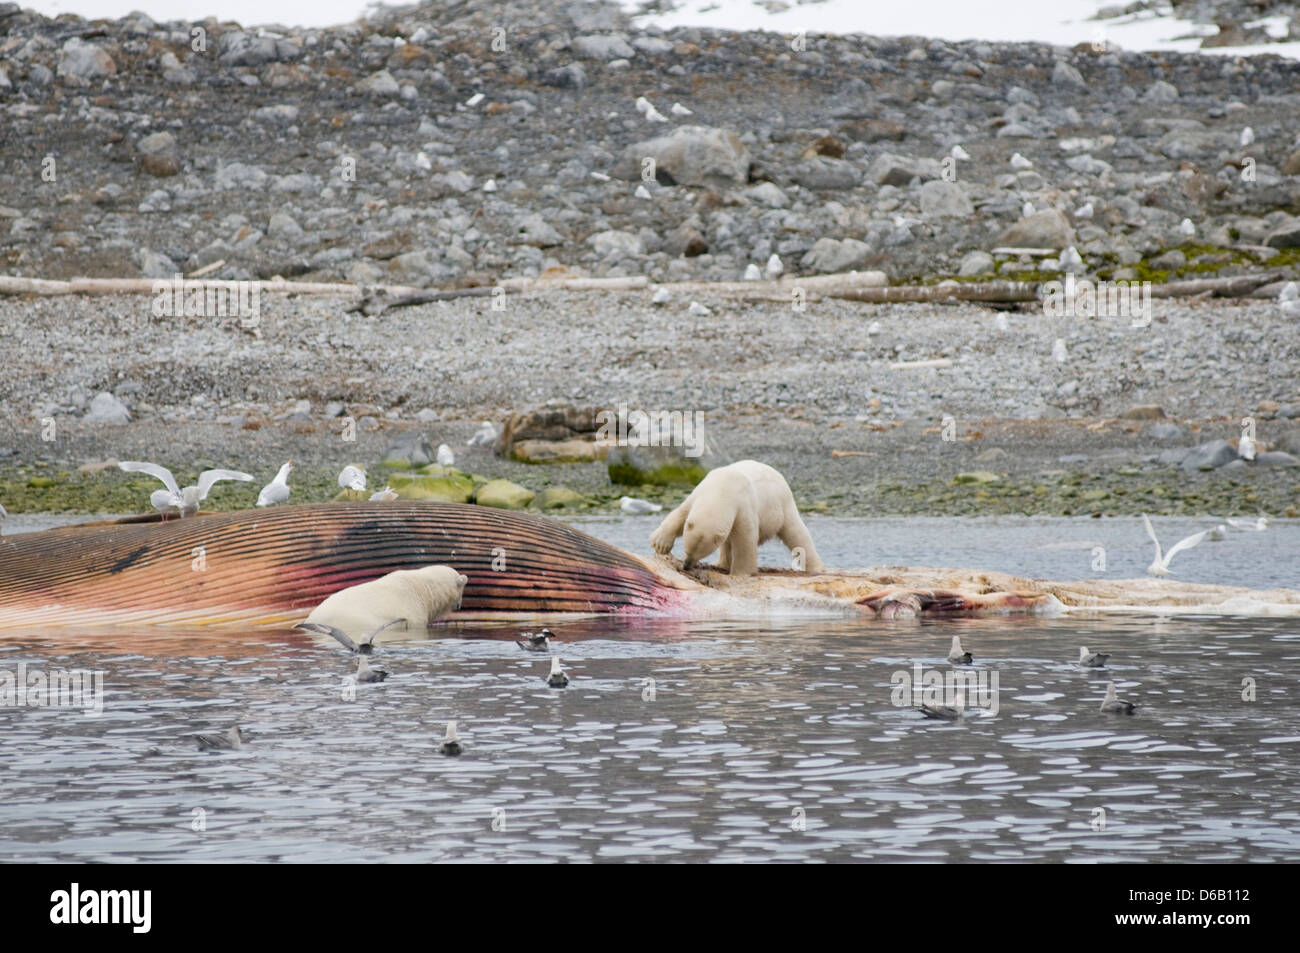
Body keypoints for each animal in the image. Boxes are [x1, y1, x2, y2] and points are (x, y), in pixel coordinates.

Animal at [649, 460, 824, 577]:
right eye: (686, 549)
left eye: (700, 553)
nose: (686, 565)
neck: (722, 489)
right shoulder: (699, 492)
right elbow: (680, 514)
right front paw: (660, 544)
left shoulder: (743, 506)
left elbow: (745, 539)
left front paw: (741, 573)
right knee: (727, 543)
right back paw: (721, 564)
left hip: (782, 505)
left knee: (797, 534)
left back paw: (817, 568)